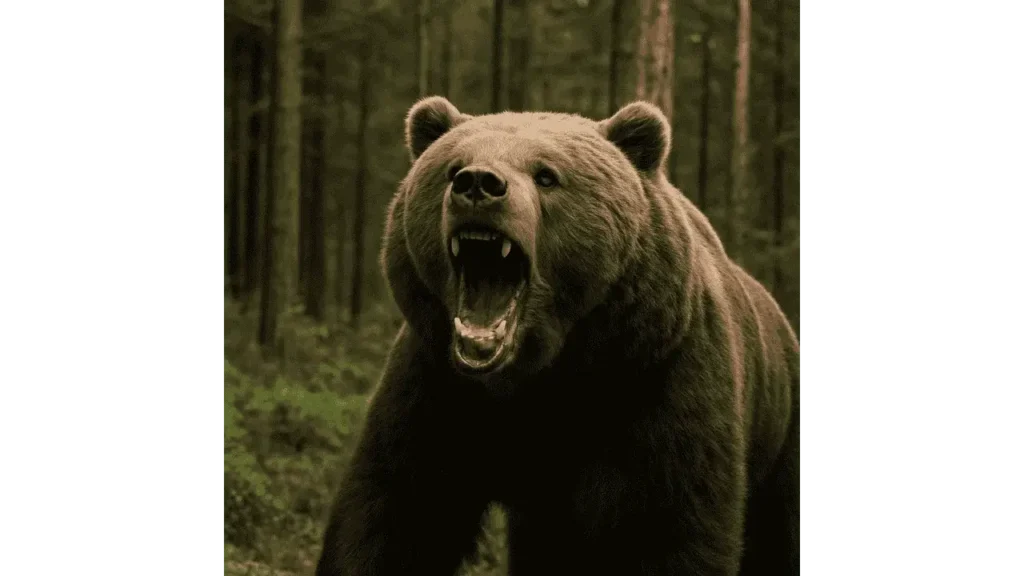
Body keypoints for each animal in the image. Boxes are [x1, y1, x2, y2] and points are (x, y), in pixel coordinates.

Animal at [315, 97, 803, 576]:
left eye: (546, 175)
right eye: (452, 168)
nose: (479, 184)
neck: (546, 379)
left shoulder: (660, 382)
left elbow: (668, 528)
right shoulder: (439, 387)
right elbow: (392, 512)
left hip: (782, 430)